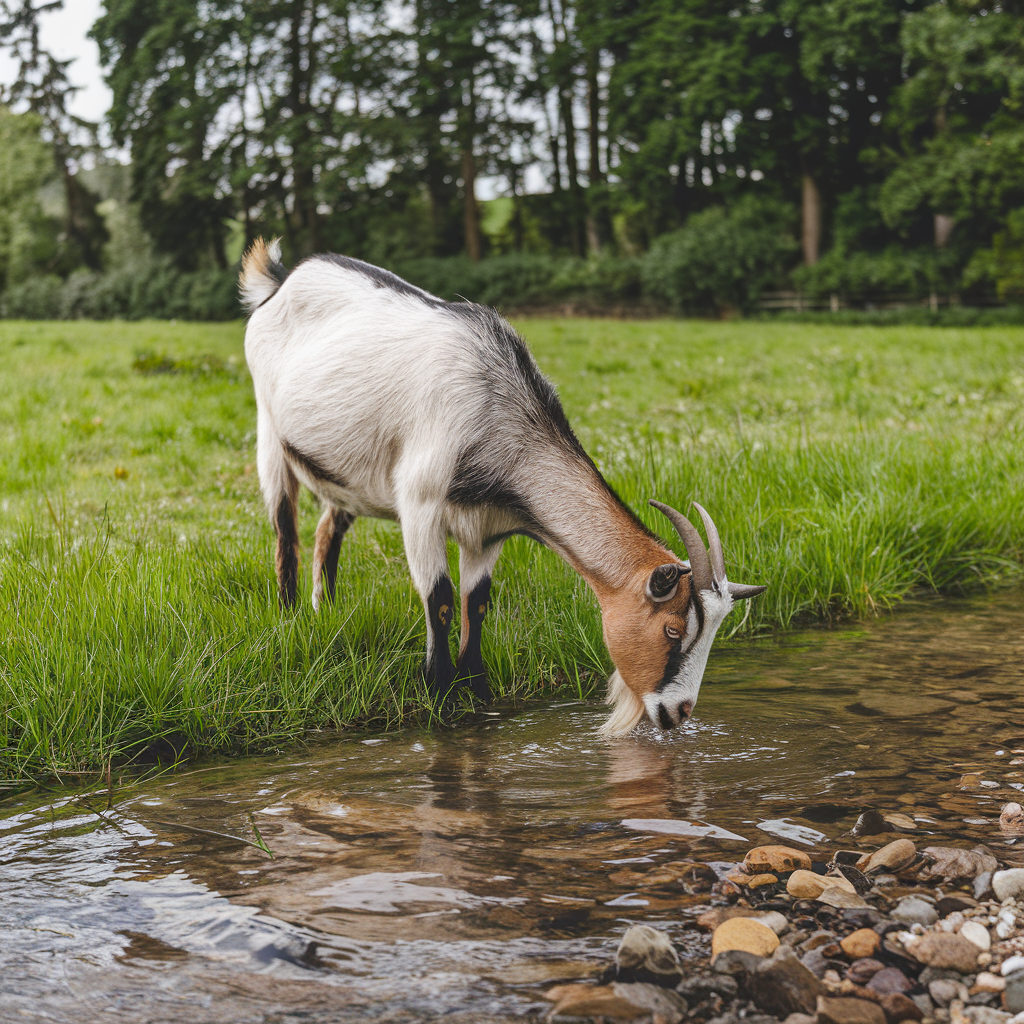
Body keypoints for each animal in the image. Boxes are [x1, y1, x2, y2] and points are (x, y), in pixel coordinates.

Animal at [241, 239, 770, 737]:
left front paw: (478, 695)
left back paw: (326, 610)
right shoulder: (420, 506)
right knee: (285, 532)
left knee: (328, 530)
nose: (679, 713)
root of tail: (280, 281)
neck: (493, 408)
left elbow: (476, 603)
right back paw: (291, 617)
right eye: (673, 628)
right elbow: (441, 599)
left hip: (349, 476)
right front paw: (439, 695)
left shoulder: (486, 529)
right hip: (269, 435)